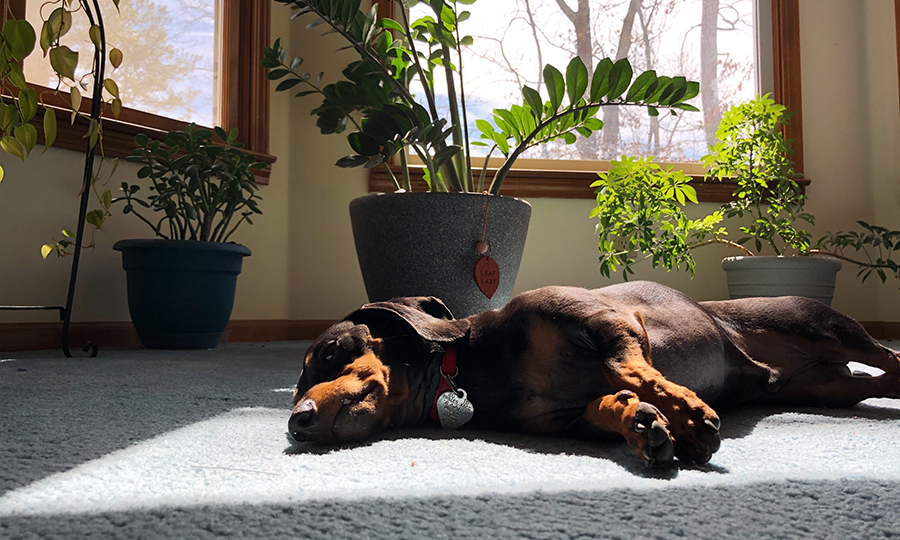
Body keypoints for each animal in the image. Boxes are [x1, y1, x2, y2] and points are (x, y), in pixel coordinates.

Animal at [288, 282, 900, 468]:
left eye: (331, 351)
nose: (296, 422)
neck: (480, 365)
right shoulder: (563, 420)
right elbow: (607, 403)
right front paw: (642, 424)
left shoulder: (607, 322)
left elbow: (631, 369)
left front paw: (687, 415)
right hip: (833, 388)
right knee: (879, 382)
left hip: (828, 328)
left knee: (890, 359)